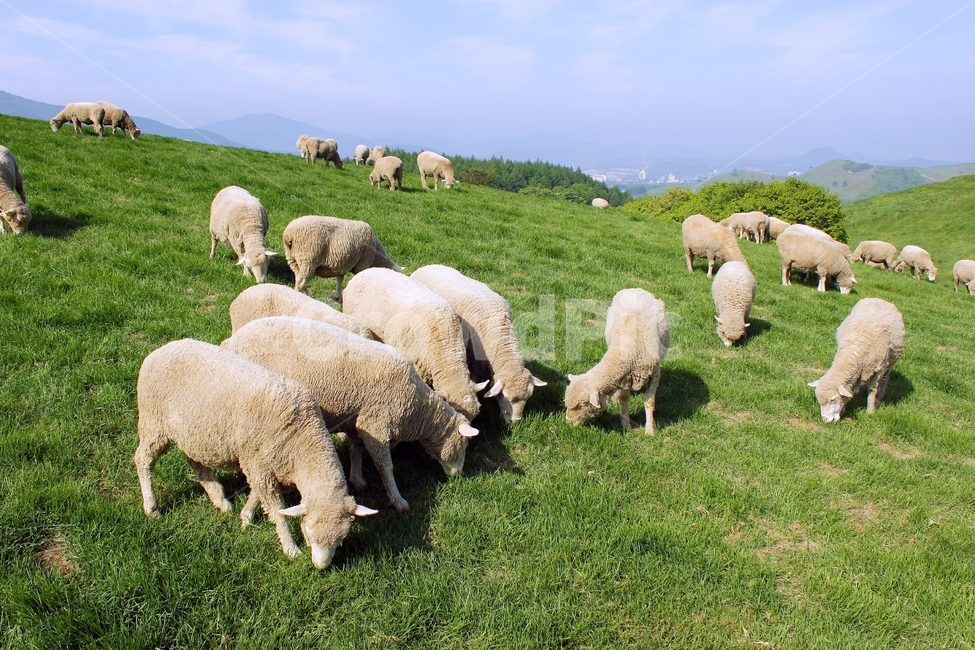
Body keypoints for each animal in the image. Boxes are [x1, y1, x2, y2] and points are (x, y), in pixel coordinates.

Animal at [133, 339, 377, 569]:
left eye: (341, 539)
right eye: (309, 529)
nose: (320, 567)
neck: (301, 438)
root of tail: (162, 349)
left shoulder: (263, 467)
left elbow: (256, 495)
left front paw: (246, 517)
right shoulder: (259, 465)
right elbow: (277, 513)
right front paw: (290, 548)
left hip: (191, 431)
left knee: (194, 461)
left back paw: (219, 498)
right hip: (153, 421)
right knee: (143, 460)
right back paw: (151, 507)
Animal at [221, 316, 480, 512]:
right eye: (464, 444)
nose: (458, 475)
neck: (417, 409)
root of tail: (234, 339)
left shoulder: (358, 422)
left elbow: (356, 450)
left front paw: (357, 479)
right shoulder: (376, 424)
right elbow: (386, 467)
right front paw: (397, 500)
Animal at [565, 288, 670, 435]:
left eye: (582, 404)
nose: (568, 422)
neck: (630, 347)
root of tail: (635, 288)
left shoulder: (654, 373)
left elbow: (649, 402)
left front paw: (650, 430)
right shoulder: (625, 377)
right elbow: (624, 399)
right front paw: (626, 424)